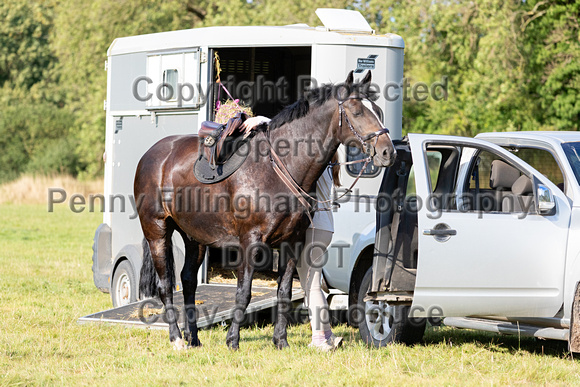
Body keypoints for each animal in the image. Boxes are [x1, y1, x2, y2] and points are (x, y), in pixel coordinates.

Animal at [134, 70, 396, 352]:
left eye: (378, 110)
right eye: (357, 111)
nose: (387, 152)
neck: (279, 168)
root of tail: (152, 155)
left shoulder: (292, 242)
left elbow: (284, 292)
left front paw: (280, 341)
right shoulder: (250, 241)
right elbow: (244, 291)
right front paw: (233, 341)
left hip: (194, 236)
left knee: (189, 281)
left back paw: (193, 338)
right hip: (157, 230)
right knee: (165, 286)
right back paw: (177, 339)